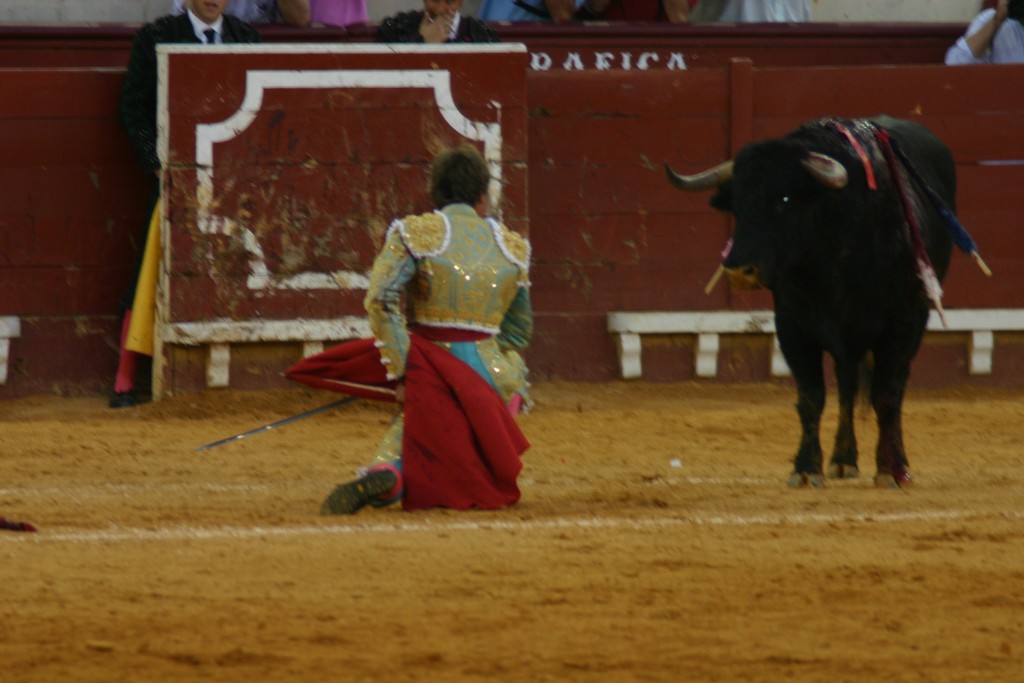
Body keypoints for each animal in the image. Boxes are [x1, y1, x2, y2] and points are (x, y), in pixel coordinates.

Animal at [667, 118, 954, 491]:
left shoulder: (902, 323)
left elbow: (887, 395)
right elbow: (811, 397)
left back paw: (896, 464)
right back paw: (843, 460)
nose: (738, 270)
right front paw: (806, 468)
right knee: (847, 385)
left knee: (893, 387)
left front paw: (890, 470)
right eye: (737, 204)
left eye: (785, 198)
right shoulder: (792, 326)